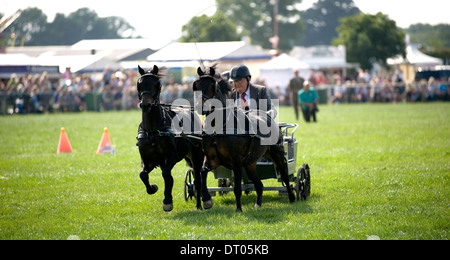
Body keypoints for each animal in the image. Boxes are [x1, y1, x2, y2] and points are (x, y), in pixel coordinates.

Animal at [137, 65, 207, 211]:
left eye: (157, 84)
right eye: (139, 84)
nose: (145, 105)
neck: (153, 132)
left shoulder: (171, 156)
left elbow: (167, 176)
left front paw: (167, 200)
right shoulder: (147, 160)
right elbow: (143, 175)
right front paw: (152, 188)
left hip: (196, 155)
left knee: (198, 179)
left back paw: (199, 204)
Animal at [194, 67, 296, 211]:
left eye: (212, 86)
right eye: (196, 85)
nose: (200, 107)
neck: (219, 127)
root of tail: (266, 115)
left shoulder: (236, 160)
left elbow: (237, 187)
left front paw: (238, 209)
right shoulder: (212, 159)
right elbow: (202, 172)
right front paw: (206, 200)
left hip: (276, 153)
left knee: (284, 174)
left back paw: (292, 197)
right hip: (250, 162)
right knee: (259, 185)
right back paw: (258, 204)